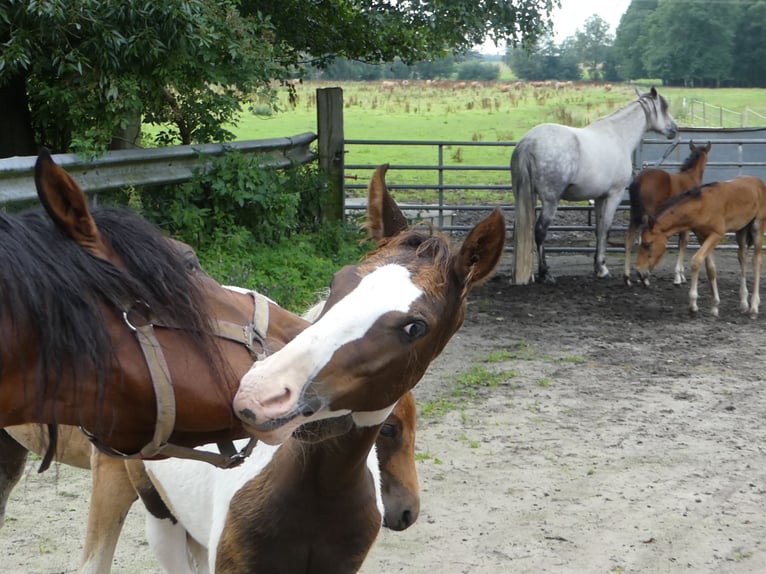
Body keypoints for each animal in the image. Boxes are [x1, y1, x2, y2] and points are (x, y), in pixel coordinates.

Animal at [512, 88, 680, 286]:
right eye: (664, 108)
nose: (674, 129)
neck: (618, 136)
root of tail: (529, 142)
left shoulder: (600, 198)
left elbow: (598, 230)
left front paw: (597, 267)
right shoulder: (614, 196)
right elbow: (605, 229)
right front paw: (603, 269)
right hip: (550, 201)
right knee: (540, 231)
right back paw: (545, 274)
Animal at [624, 142, 712, 286]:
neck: (691, 176)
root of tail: (638, 181)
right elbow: (683, 242)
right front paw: (678, 276)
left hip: (634, 214)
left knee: (629, 240)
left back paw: (627, 277)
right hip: (648, 215)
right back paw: (644, 277)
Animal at [632, 177, 766, 320]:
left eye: (647, 244)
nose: (639, 272)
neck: (701, 206)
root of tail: (758, 181)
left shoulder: (717, 235)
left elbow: (696, 260)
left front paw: (693, 306)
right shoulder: (702, 237)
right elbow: (710, 269)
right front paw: (714, 306)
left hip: (758, 225)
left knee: (756, 260)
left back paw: (754, 307)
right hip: (741, 230)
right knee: (742, 257)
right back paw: (743, 303)